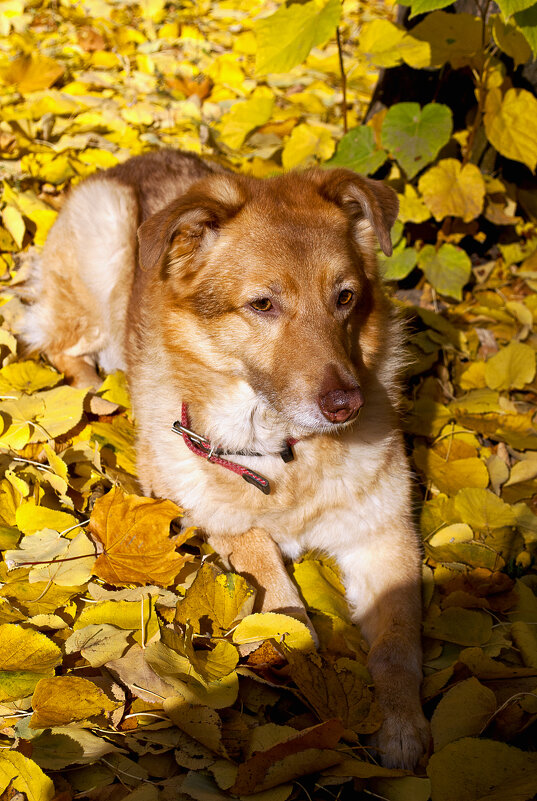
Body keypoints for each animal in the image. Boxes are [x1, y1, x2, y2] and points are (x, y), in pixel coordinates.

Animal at [23, 147, 430, 764]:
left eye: (345, 297)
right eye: (262, 305)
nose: (346, 405)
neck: (285, 453)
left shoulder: (384, 536)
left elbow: (399, 642)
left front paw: (403, 723)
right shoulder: (214, 515)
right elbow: (281, 599)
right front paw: (307, 667)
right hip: (103, 237)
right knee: (61, 347)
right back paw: (99, 396)